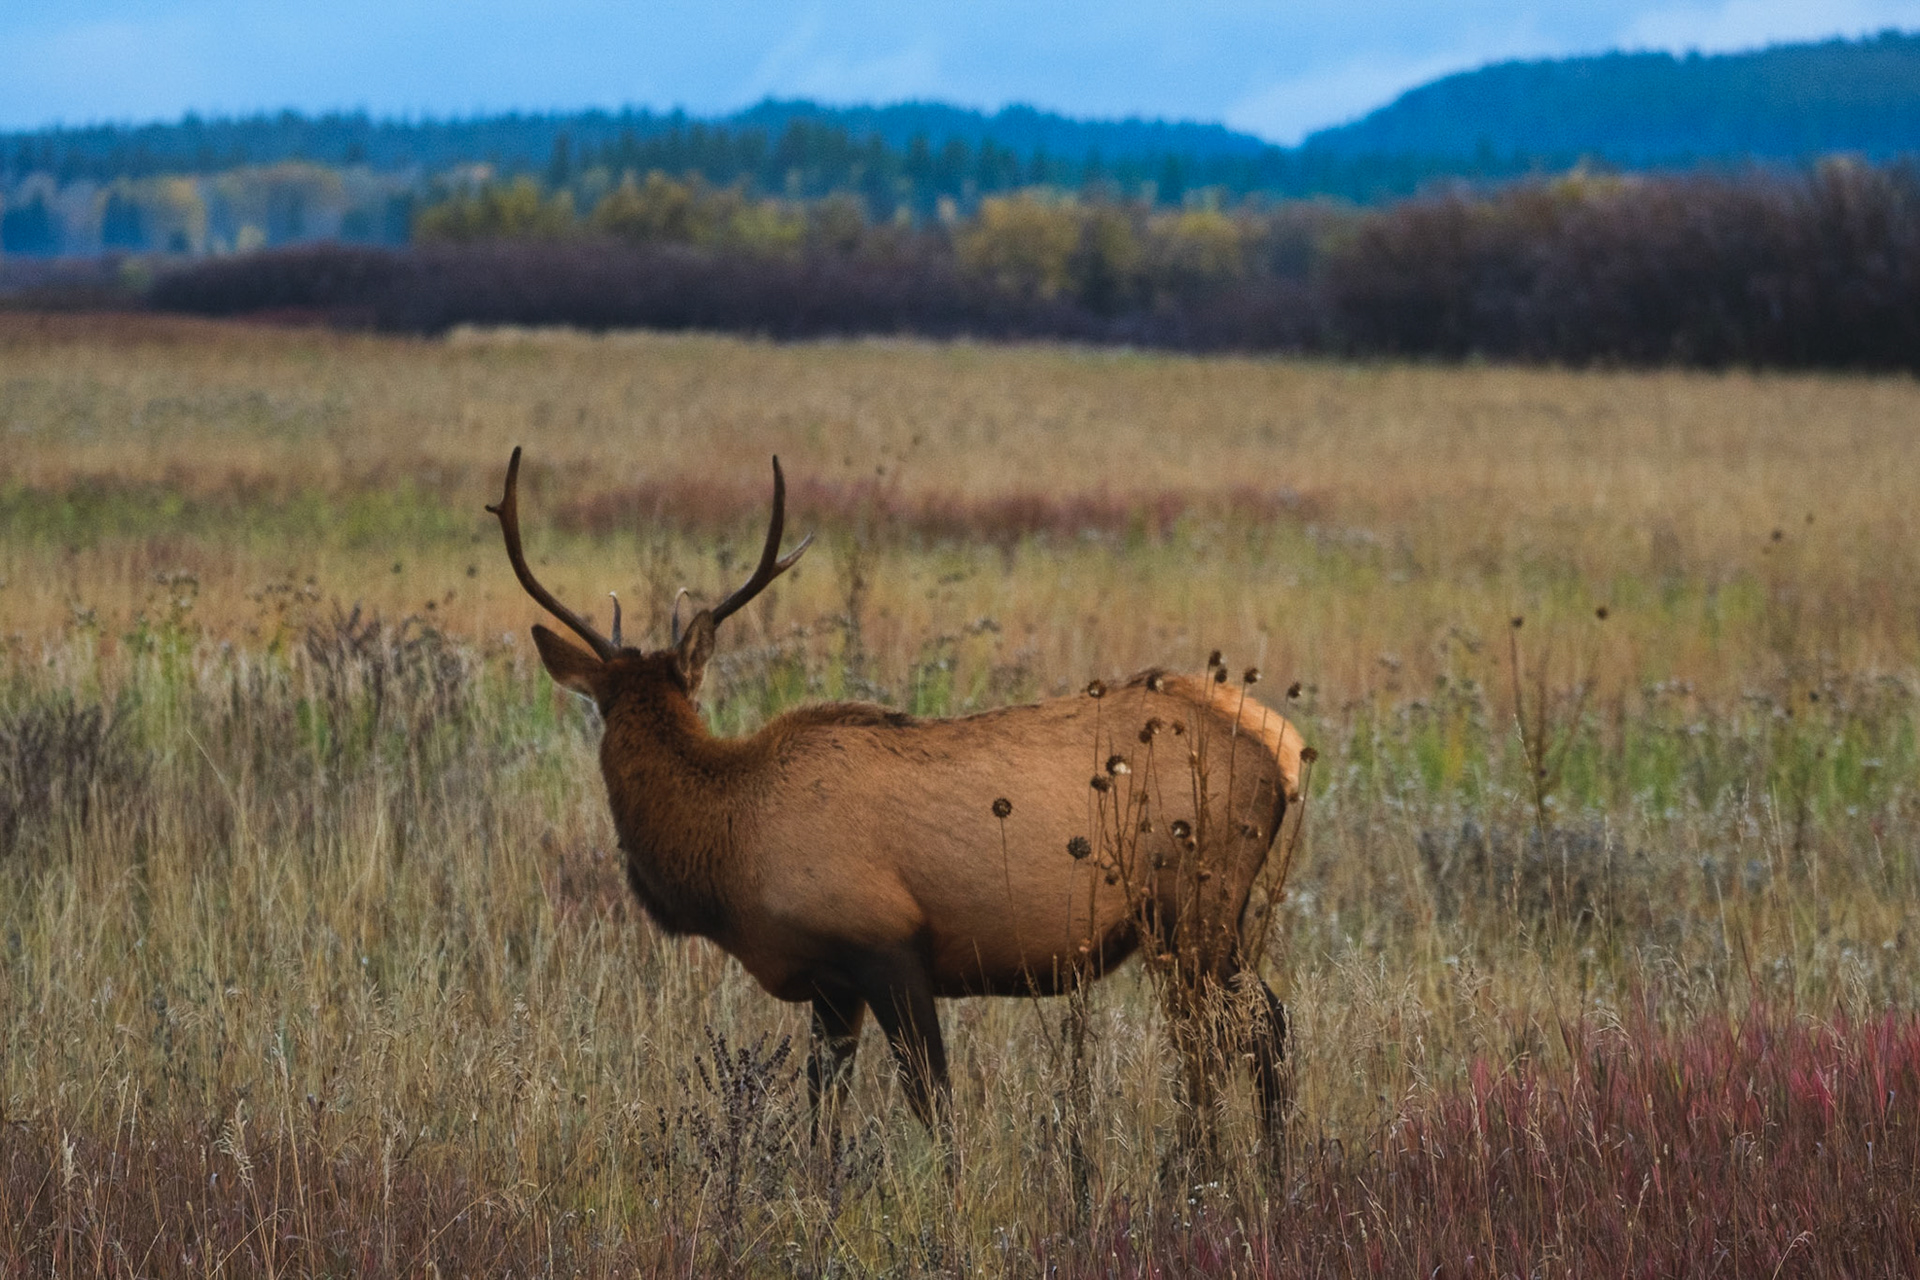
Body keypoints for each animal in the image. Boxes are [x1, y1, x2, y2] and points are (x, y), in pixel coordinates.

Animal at [488, 447, 1309, 1149]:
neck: (728, 847)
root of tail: (1285, 753)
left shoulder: (888, 945)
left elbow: (934, 1103)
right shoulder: (830, 983)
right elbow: (823, 1113)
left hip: (1193, 904)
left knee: (1242, 1031)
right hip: (1200, 920)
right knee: (1255, 1027)